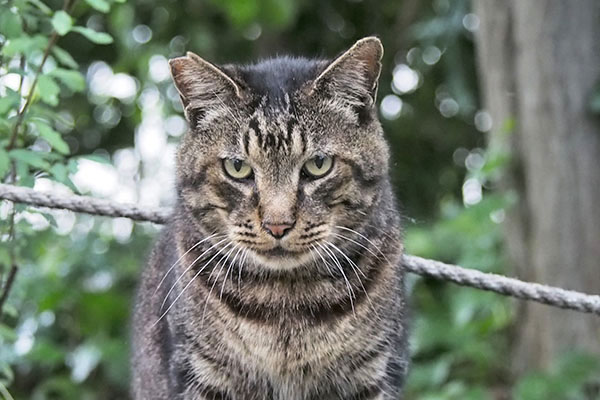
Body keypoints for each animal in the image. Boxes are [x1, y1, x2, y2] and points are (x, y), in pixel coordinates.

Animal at [132, 37, 410, 400]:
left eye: (318, 164)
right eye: (237, 168)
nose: (278, 224)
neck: (285, 308)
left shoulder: (373, 371)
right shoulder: (198, 374)